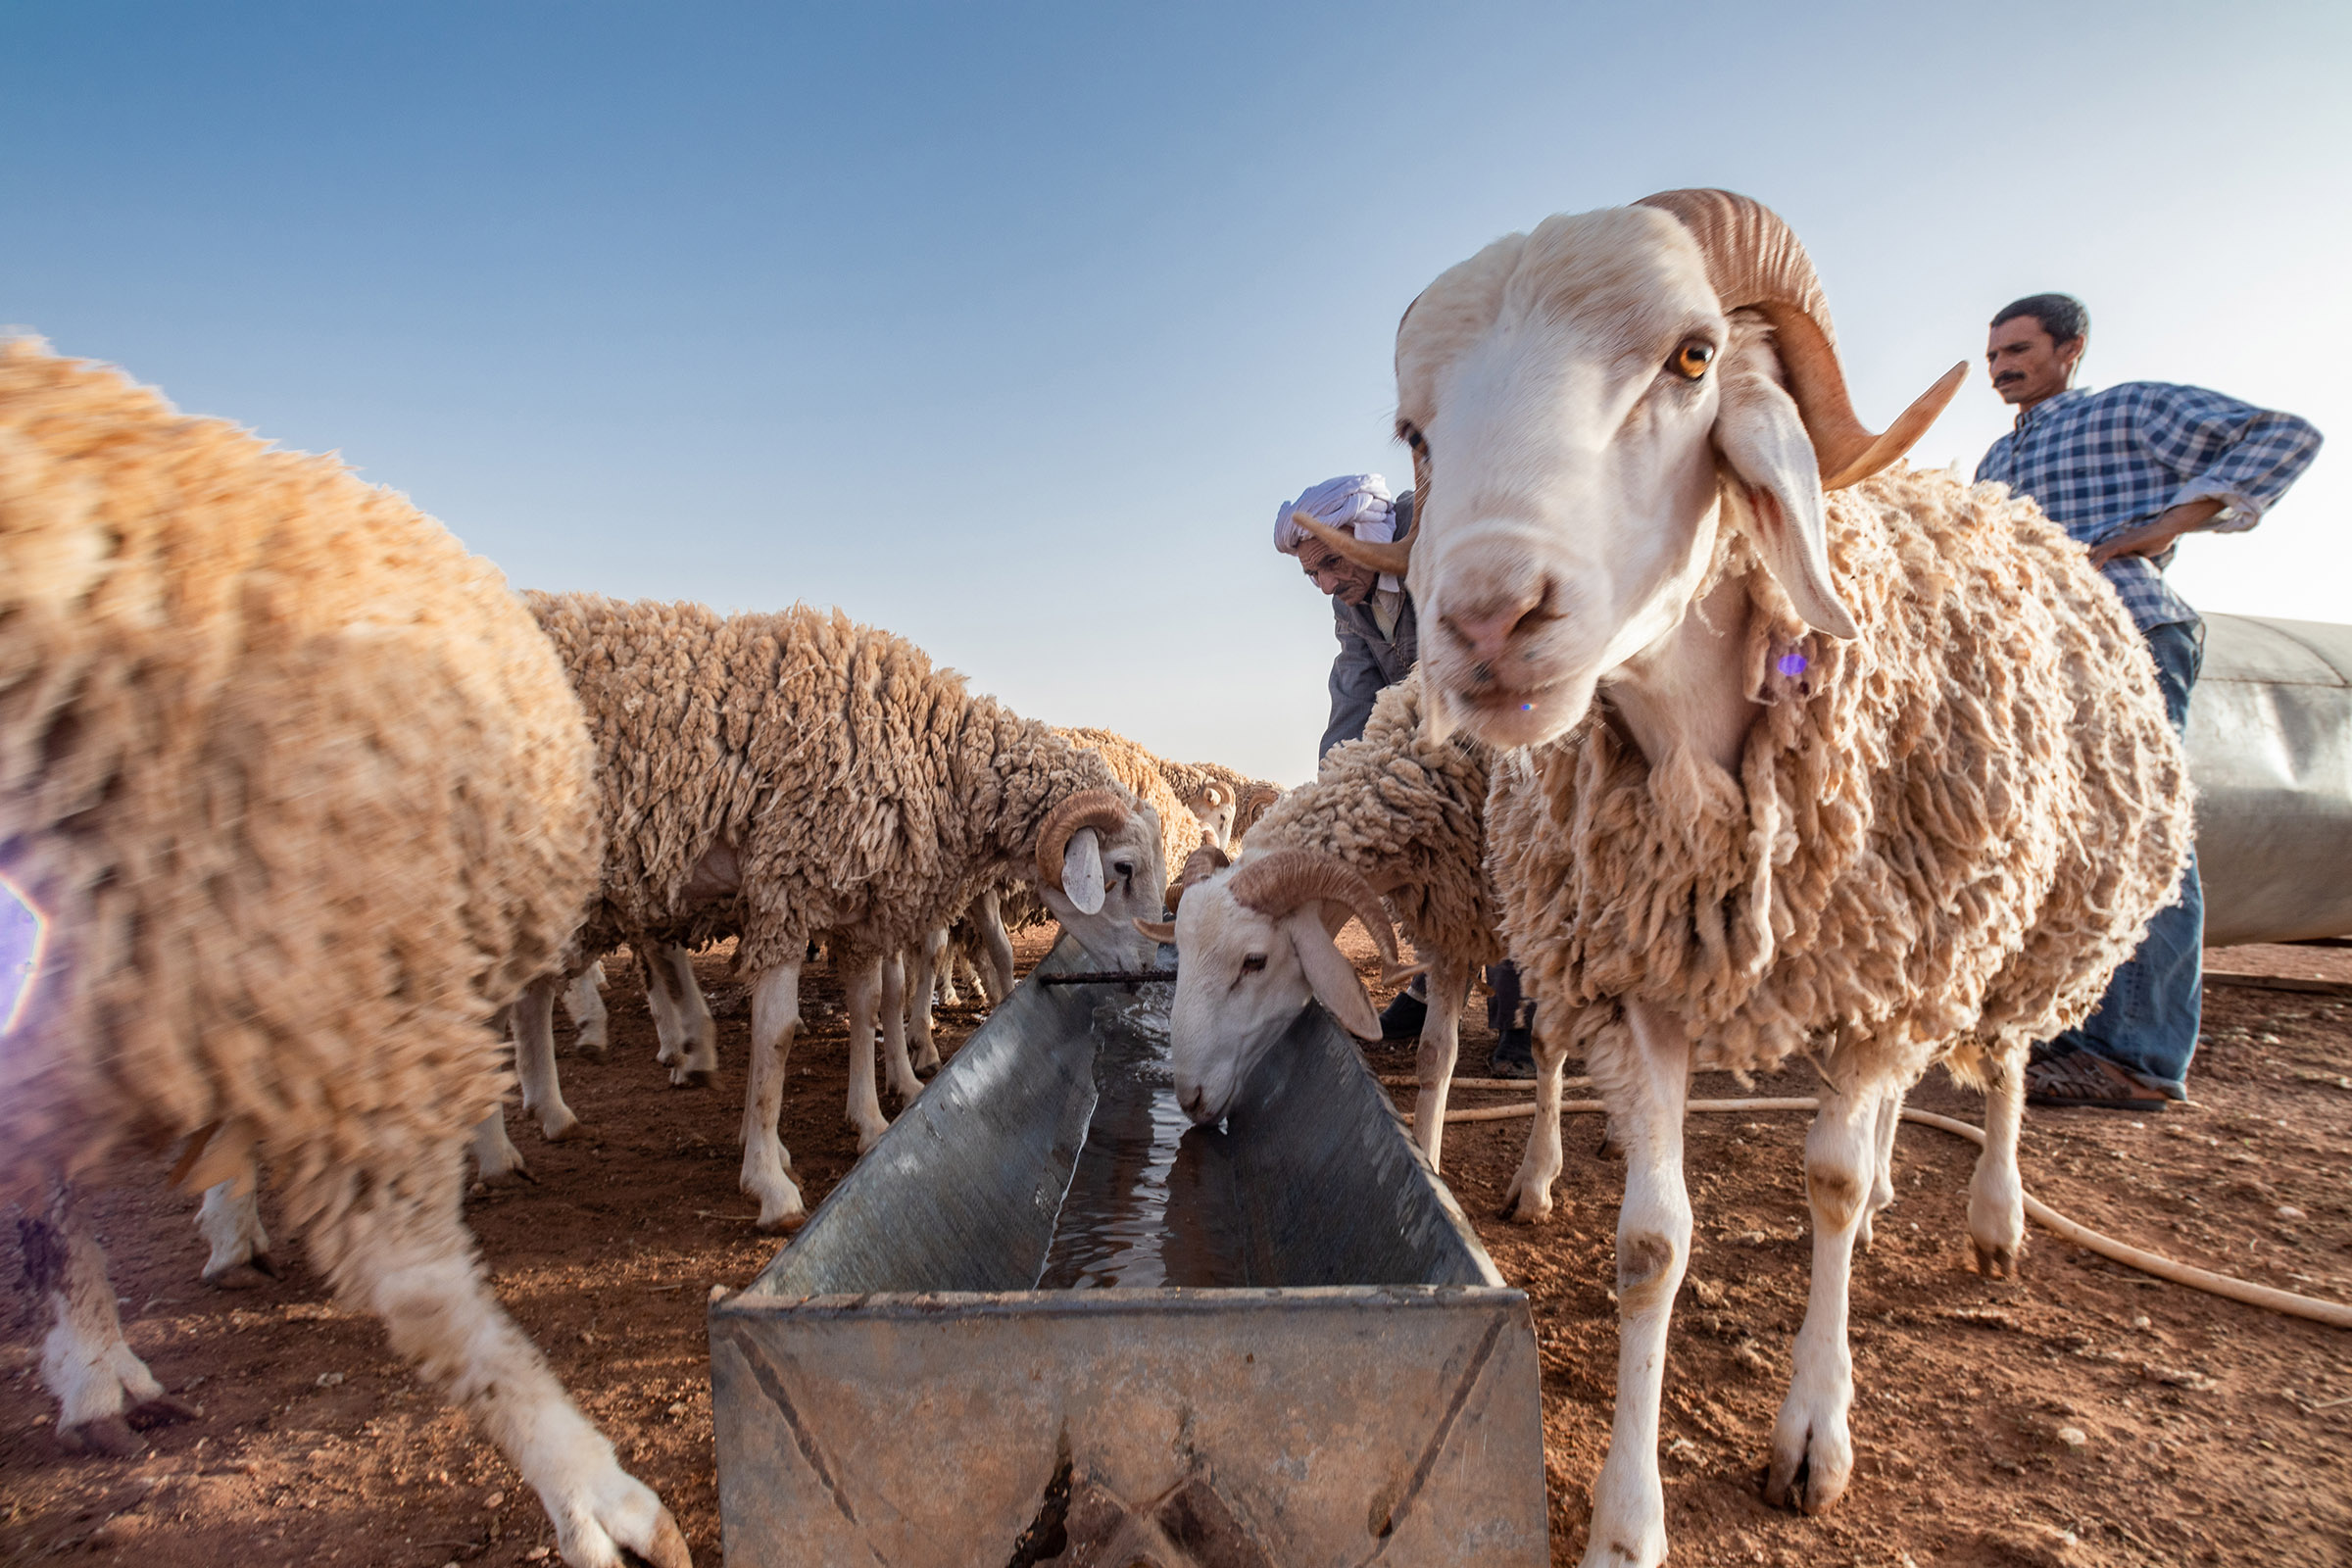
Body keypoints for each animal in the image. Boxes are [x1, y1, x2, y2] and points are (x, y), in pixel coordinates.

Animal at [524, 587, 1166, 1222]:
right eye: (1122, 869)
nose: (1147, 971)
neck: (928, 750)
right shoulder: (786, 889)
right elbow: (778, 1035)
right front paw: (769, 1179)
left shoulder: (858, 905)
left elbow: (870, 1005)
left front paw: (872, 1122)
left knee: (539, 988)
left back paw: (552, 1111)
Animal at [1373, 196, 2191, 1568]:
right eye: (1417, 433)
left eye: (1695, 357)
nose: (1485, 620)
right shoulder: (1637, 979)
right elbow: (1652, 1243)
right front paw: (1626, 1523)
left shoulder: (1892, 968)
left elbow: (1831, 1183)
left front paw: (1815, 1432)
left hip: (2018, 918)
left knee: (2000, 1062)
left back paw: (1992, 1213)